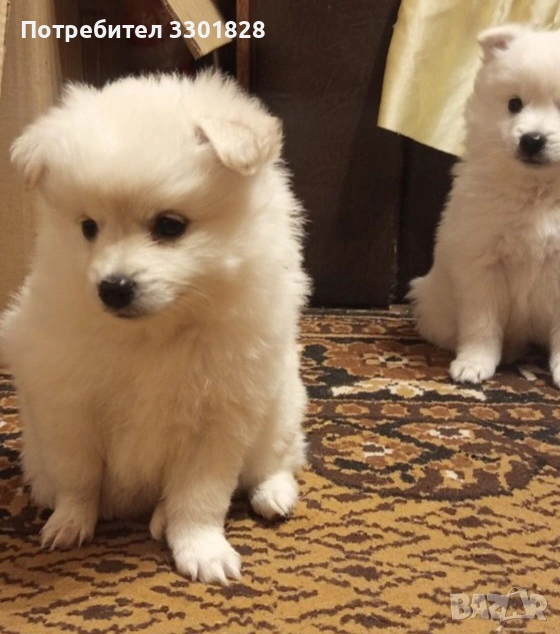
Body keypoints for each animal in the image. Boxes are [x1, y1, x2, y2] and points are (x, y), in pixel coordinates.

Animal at [0, 72, 310, 584]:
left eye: (170, 225)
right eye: (88, 227)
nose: (113, 288)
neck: (155, 333)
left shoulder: (221, 416)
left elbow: (201, 496)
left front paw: (202, 551)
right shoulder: (67, 406)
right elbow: (78, 477)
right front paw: (69, 525)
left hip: (281, 407)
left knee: (277, 460)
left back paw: (272, 495)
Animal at [409, 24, 560, 387]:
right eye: (514, 104)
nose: (531, 140)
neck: (539, 192)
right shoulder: (481, 263)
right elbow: (482, 324)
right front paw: (474, 364)